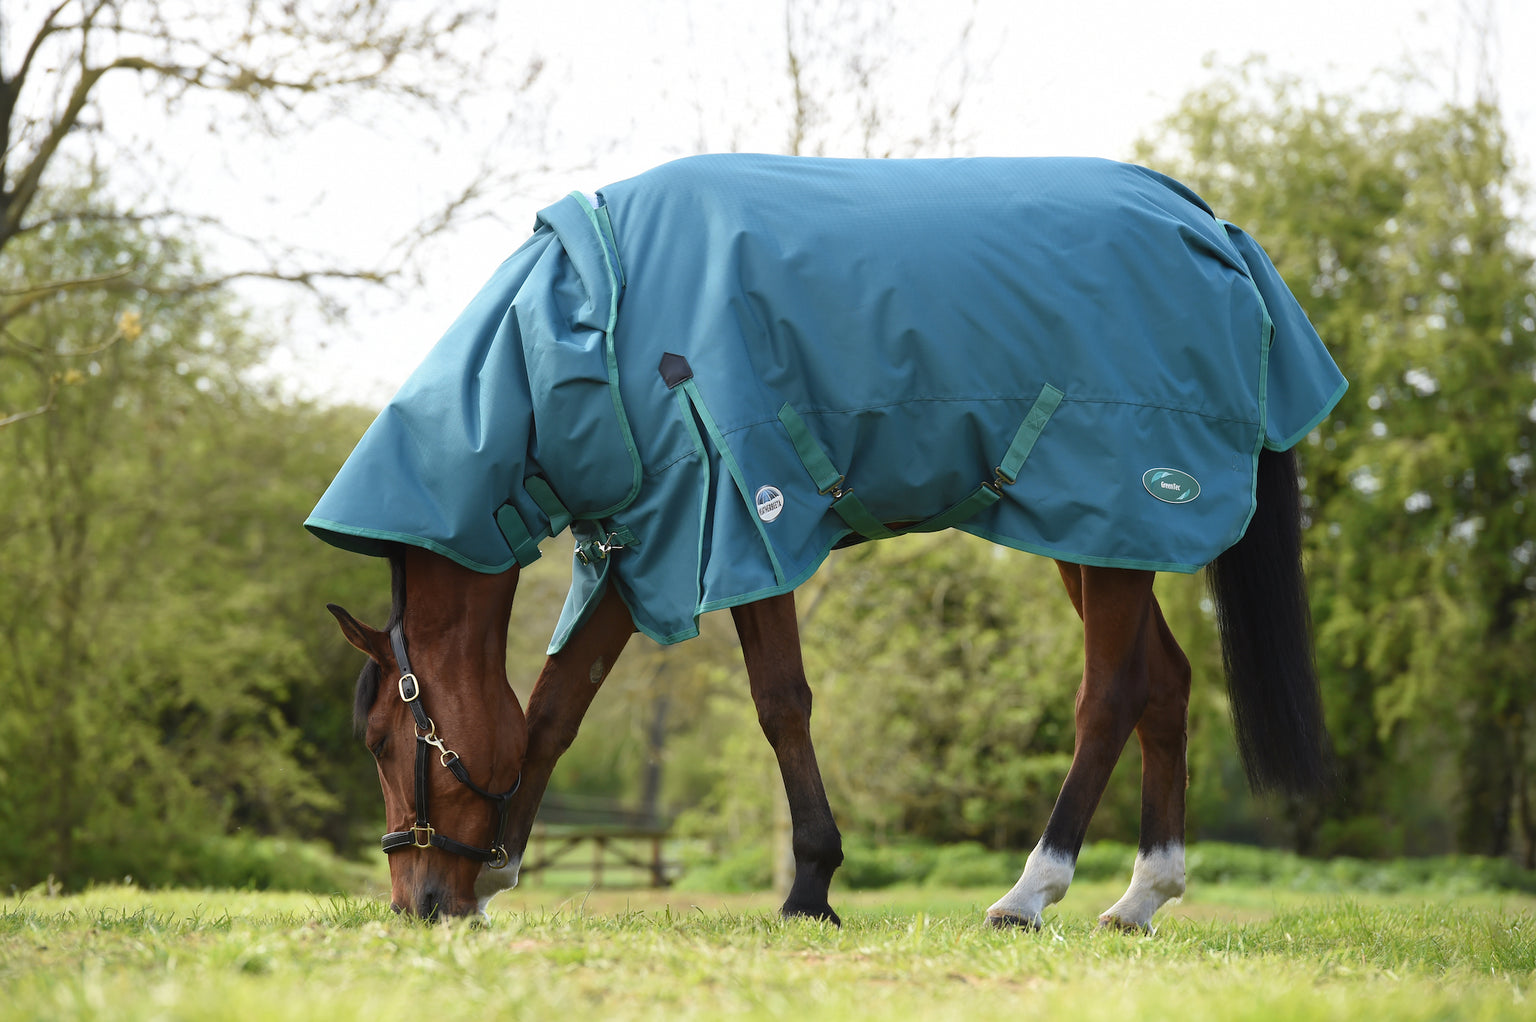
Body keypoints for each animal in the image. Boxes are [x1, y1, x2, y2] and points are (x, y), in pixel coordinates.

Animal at [314, 154, 1344, 924]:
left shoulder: (742, 514)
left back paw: (1031, 891)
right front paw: (498, 874)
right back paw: (1142, 896)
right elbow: (556, 709)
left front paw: (810, 884)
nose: (418, 900)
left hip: (1110, 520)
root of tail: (1214, 229)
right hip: (1102, 538)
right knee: (1165, 686)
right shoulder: (637, 543)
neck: (593, 322)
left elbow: (781, 704)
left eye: (382, 740)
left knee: (1112, 695)